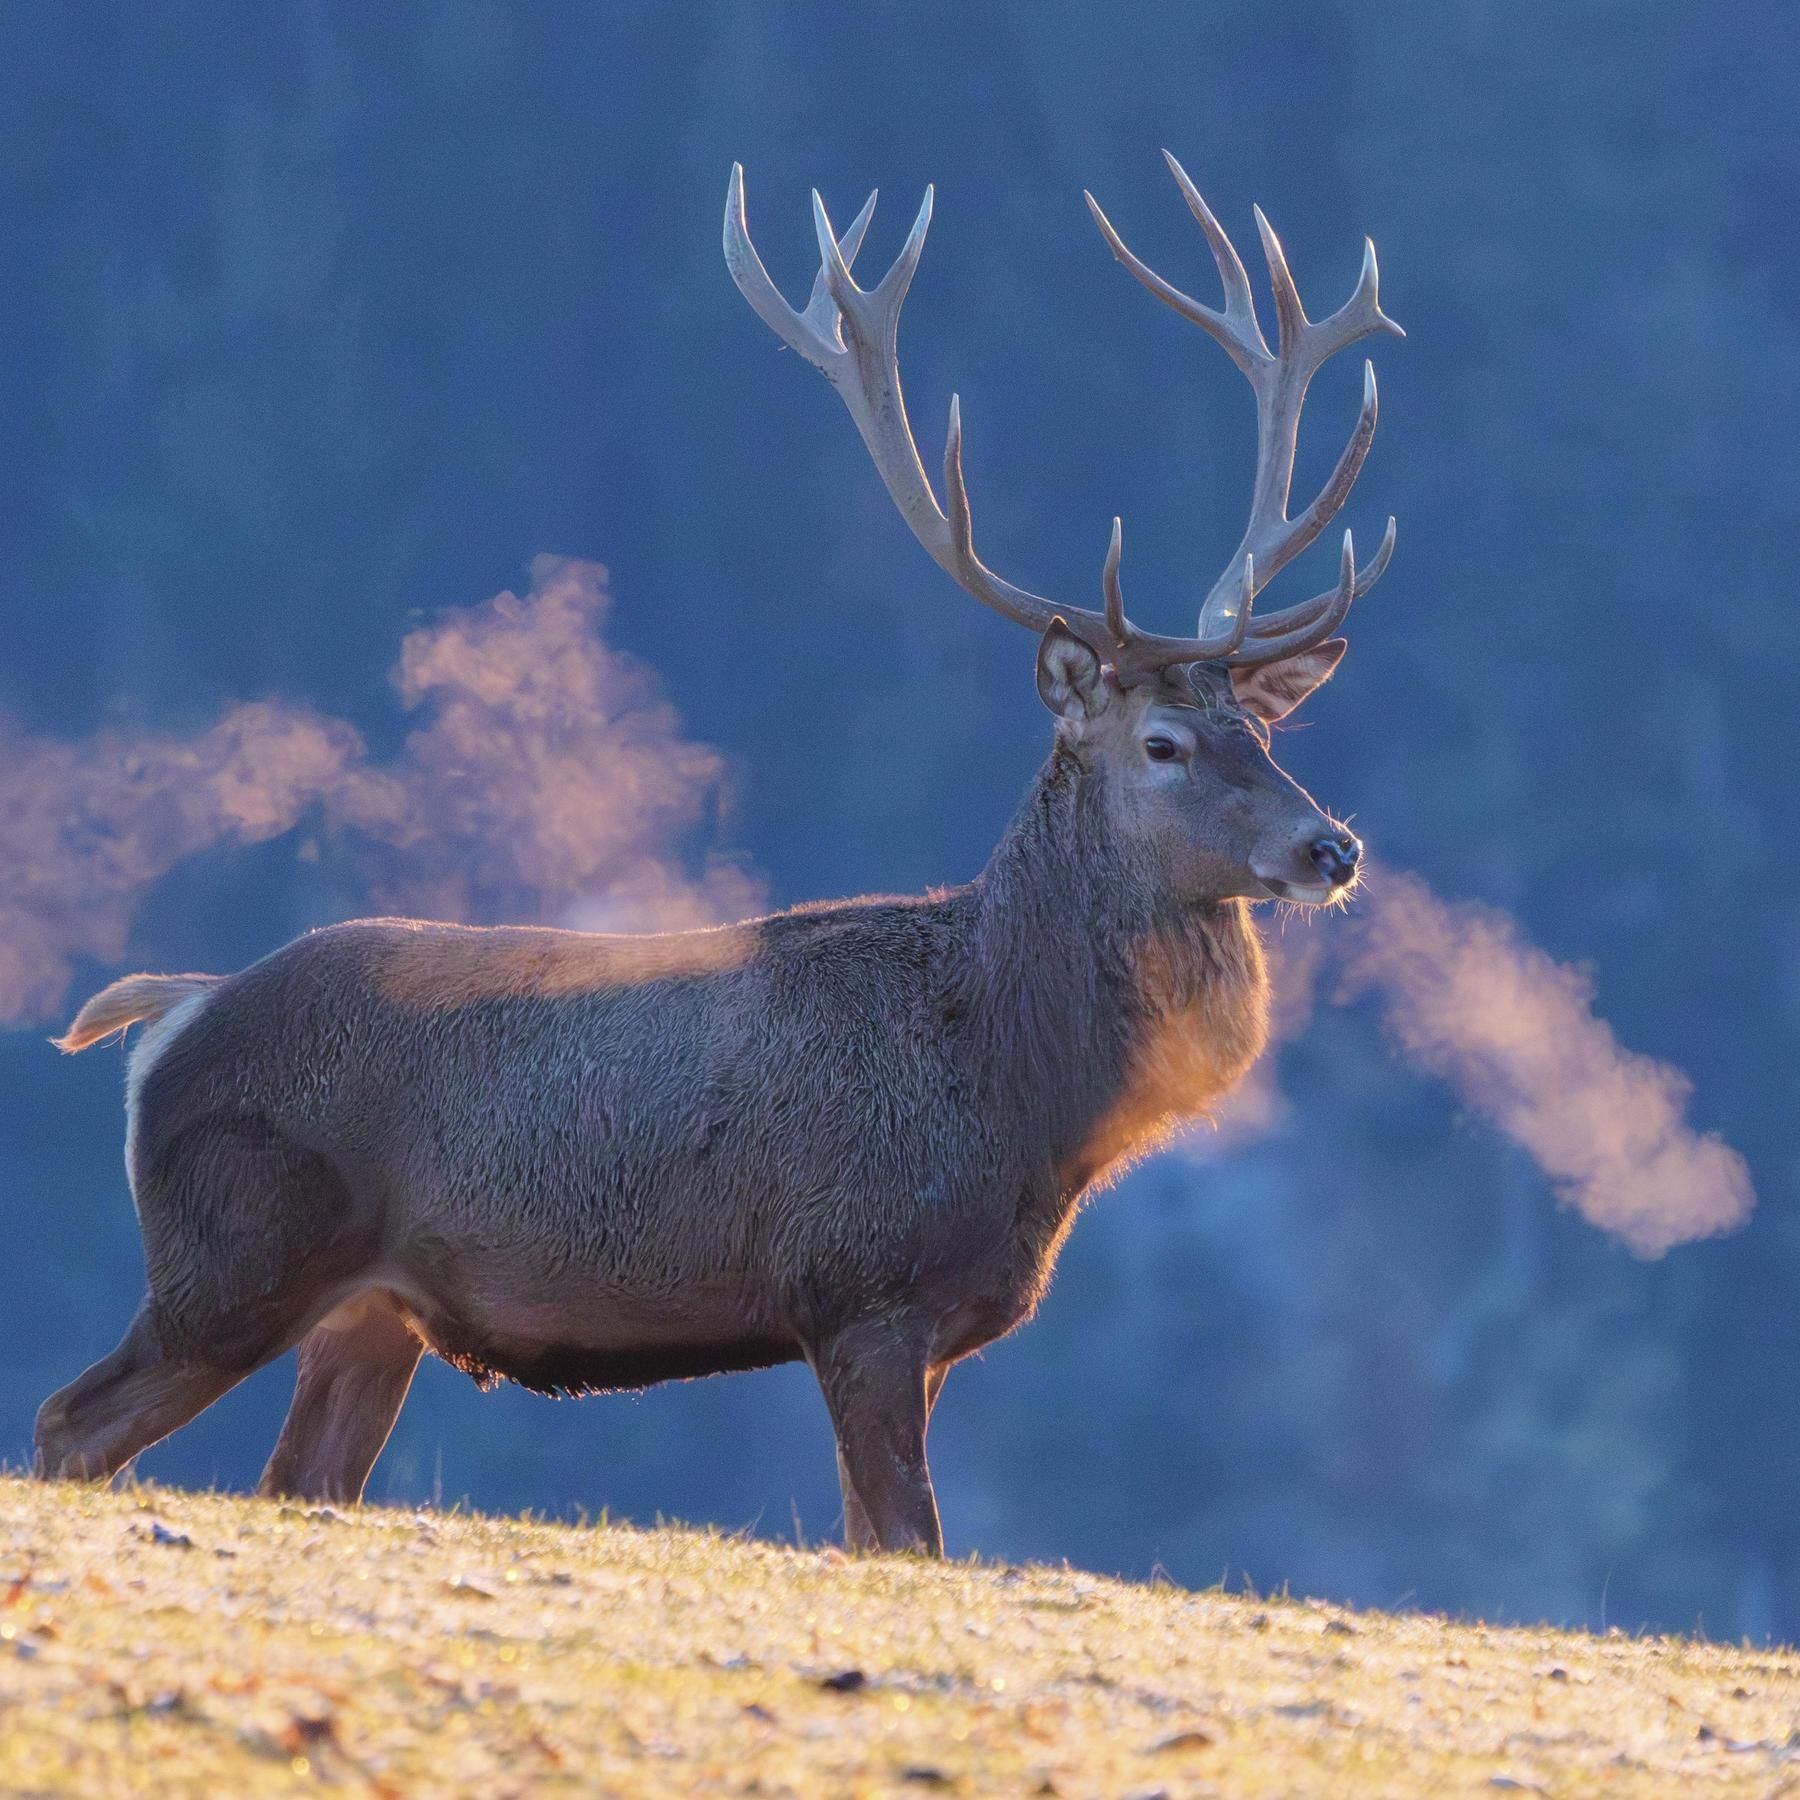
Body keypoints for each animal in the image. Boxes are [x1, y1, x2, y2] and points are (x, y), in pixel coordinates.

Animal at [34, 153, 1401, 1555]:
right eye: (1164, 744)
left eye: (1262, 729)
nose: (1332, 846)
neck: (1019, 1088)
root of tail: (172, 1011)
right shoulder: (859, 1287)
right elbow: (905, 1533)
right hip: (235, 1254)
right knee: (70, 1420)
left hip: (369, 1312)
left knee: (294, 1471)